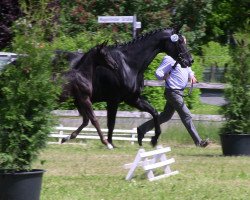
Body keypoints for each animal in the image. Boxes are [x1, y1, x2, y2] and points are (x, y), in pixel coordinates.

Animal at [54, 27, 192, 148]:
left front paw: (151, 139)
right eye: (179, 41)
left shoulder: (133, 99)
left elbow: (154, 112)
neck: (128, 64)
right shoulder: (113, 100)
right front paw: (110, 143)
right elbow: (111, 123)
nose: (190, 60)